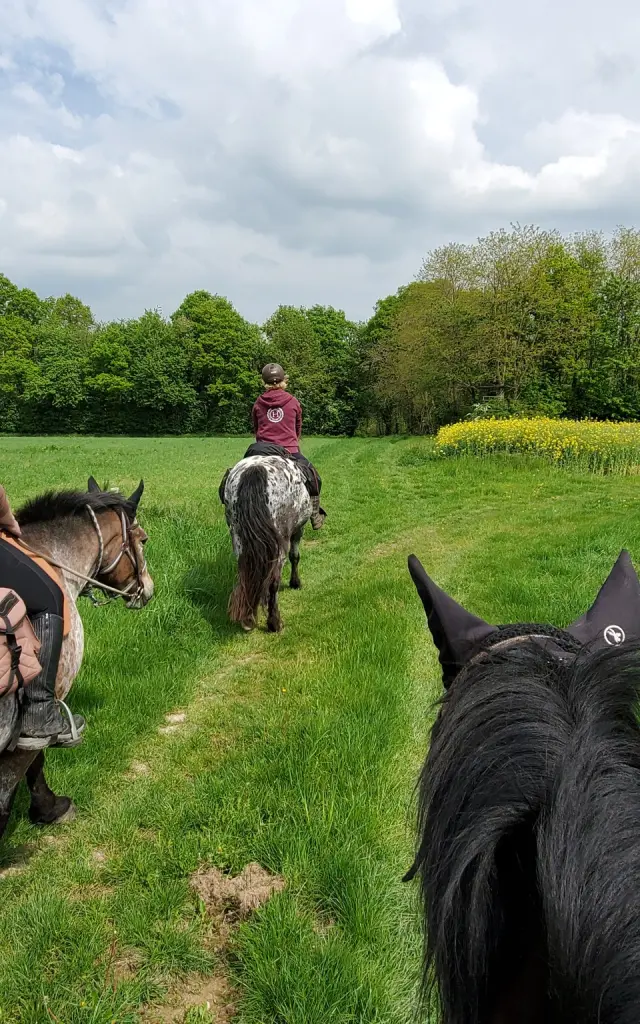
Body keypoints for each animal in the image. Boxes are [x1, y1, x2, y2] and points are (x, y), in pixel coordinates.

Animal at [222, 455, 311, 632]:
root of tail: (255, 470)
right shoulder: (298, 530)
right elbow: (295, 556)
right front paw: (295, 583)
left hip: (238, 539)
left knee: (247, 575)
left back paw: (248, 619)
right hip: (280, 545)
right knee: (273, 581)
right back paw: (274, 623)